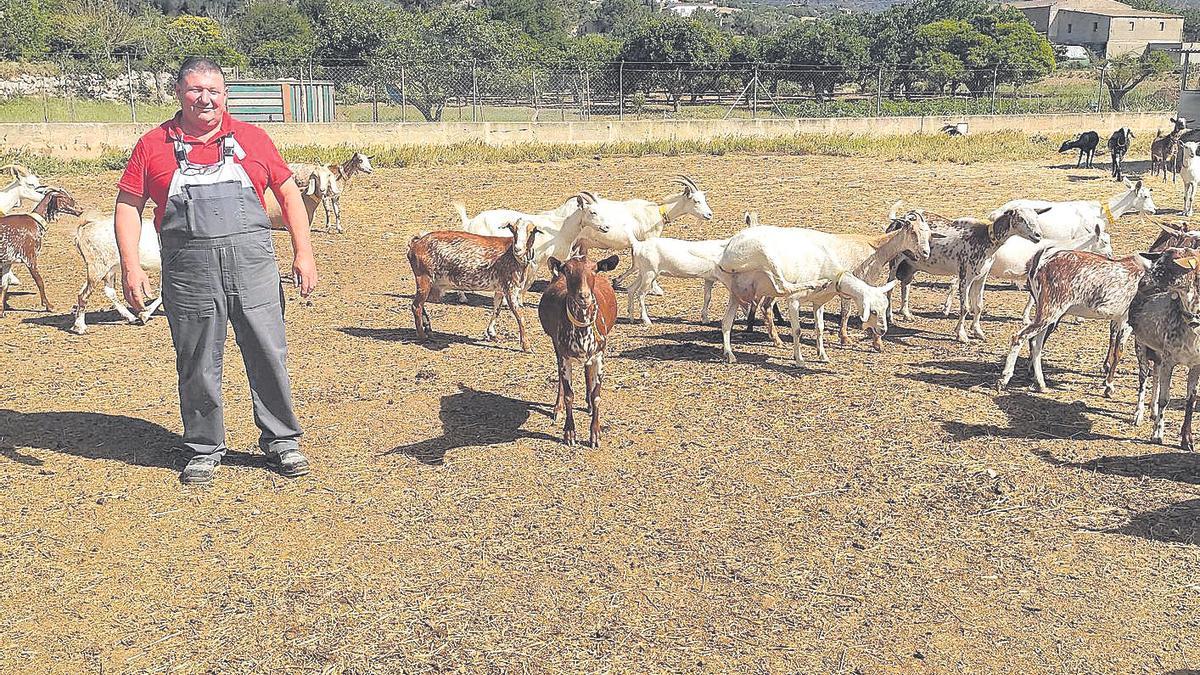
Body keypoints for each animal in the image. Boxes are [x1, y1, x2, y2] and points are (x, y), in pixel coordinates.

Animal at [0, 184, 83, 314]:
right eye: (65, 197)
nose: (81, 210)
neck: (35, 223)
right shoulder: (30, 258)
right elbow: (40, 282)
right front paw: (48, 306)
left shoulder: (7, 262)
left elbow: (4, 286)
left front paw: (1, 311)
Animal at [405, 219, 537, 348]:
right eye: (513, 229)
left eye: (532, 231)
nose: (518, 249)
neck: (511, 254)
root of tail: (415, 244)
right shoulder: (510, 288)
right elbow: (520, 316)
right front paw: (526, 346)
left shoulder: (500, 289)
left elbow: (496, 309)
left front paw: (492, 334)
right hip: (424, 278)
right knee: (416, 306)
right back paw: (422, 336)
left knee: (421, 304)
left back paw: (428, 329)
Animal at [540, 252, 624, 446]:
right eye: (568, 270)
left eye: (594, 269)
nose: (584, 296)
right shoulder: (564, 356)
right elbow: (569, 394)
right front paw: (569, 433)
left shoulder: (599, 355)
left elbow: (597, 395)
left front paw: (595, 434)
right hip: (556, 346)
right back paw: (558, 408)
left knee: (587, 372)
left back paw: (589, 405)